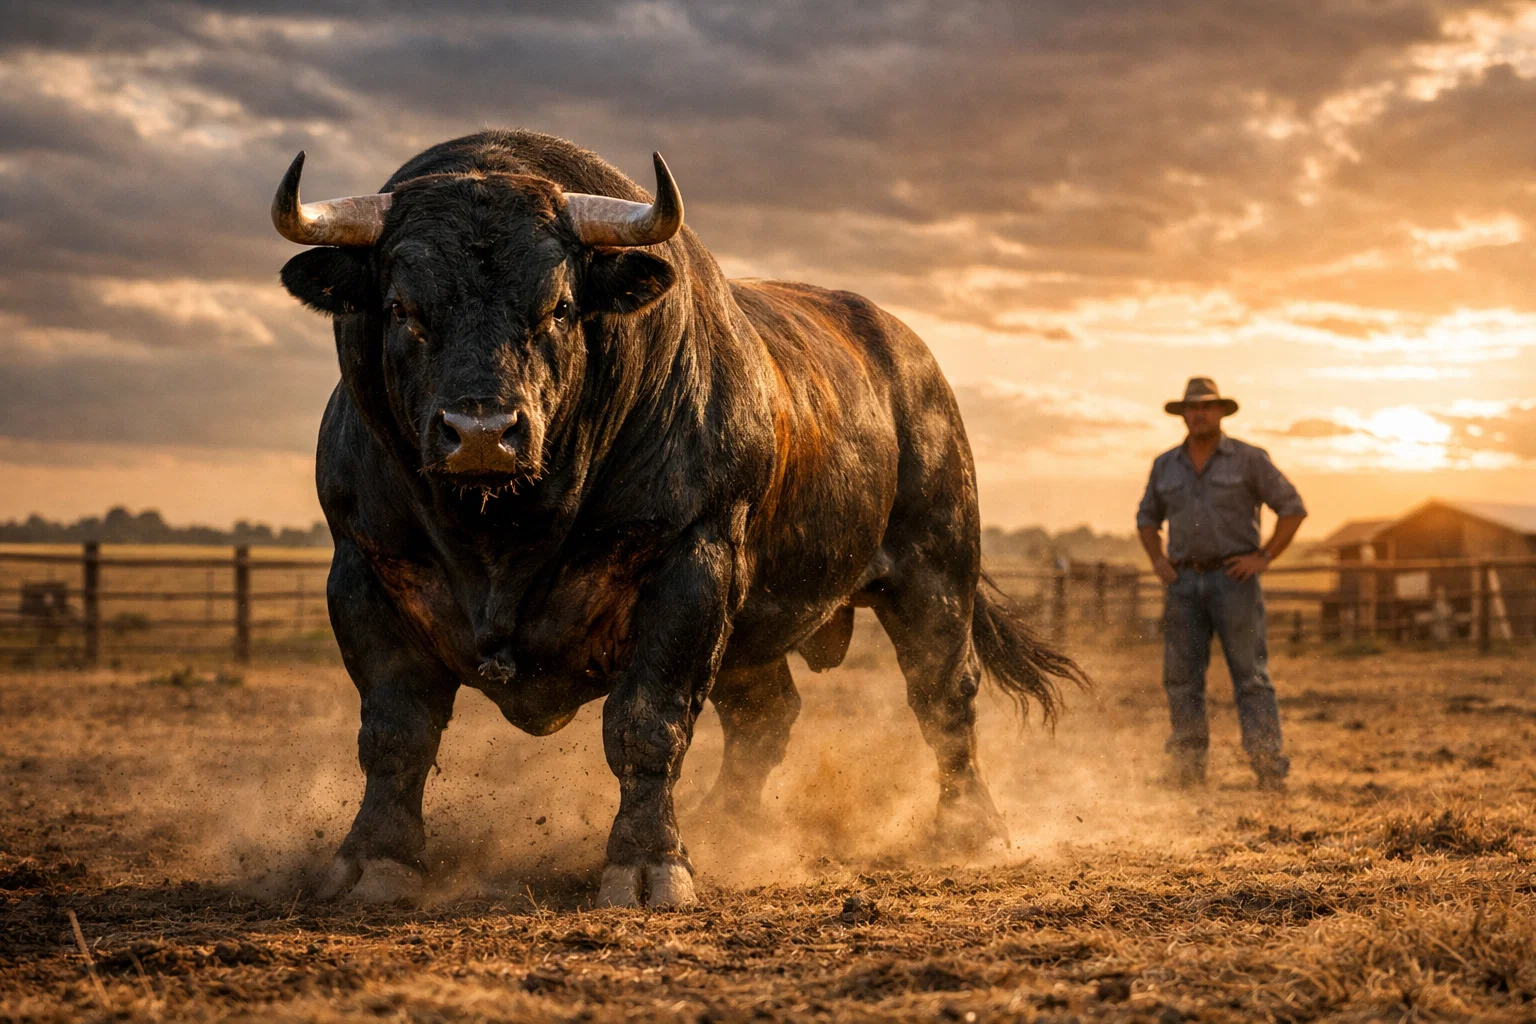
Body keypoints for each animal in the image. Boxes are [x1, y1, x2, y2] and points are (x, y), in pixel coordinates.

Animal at [272, 130, 1087, 908]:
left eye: (559, 306)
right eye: (402, 308)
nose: (481, 433)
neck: (502, 534)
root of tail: (913, 362)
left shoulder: (691, 565)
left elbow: (647, 723)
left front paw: (648, 863)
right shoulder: (364, 571)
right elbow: (396, 730)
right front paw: (375, 861)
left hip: (934, 571)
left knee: (944, 695)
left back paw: (971, 830)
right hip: (759, 627)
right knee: (766, 715)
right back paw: (731, 825)